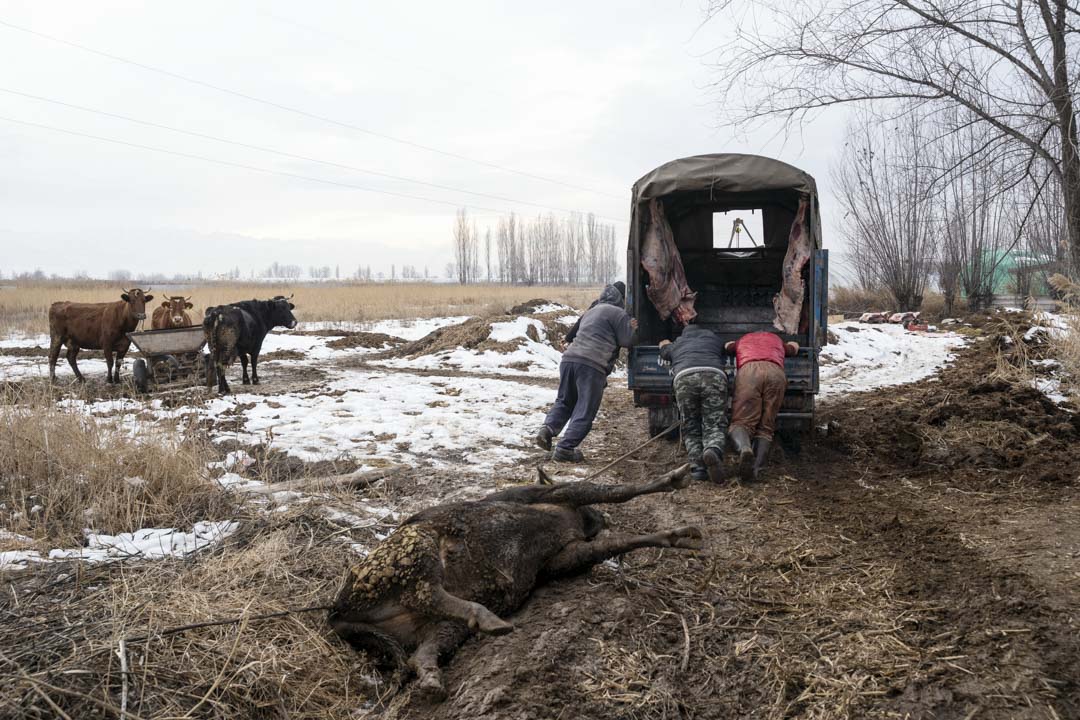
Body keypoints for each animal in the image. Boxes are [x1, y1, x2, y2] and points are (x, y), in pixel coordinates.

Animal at [328, 464, 699, 699]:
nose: (600, 520)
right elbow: (614, 491)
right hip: (415, 546)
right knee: (425, 591)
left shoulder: (561, 557)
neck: (573, 519)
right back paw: (489, 618)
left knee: (422, 651)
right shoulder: (555, 493)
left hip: (443, 628)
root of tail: (336, 616)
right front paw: (677, 489)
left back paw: (436, 677)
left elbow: (609, 544)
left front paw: (677, 536)